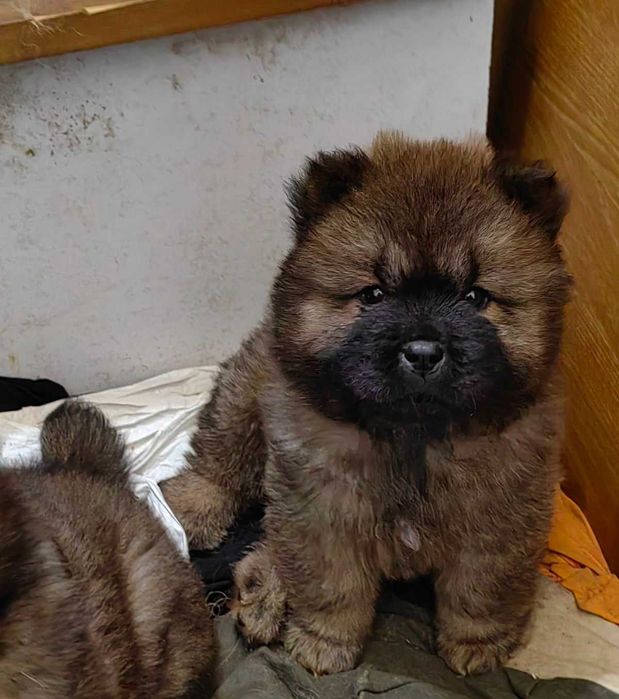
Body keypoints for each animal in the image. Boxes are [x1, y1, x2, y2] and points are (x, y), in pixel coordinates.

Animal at [162, 132, 570, 676]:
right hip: (246, 404)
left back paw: (262, 594)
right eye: (373, 295)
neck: (414, 437)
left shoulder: (499, 519)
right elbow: (333, 587)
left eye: (475, 297)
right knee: (219, 464)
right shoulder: (325, 515)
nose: (423, 351)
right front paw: (323, 644)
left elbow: (480, 592)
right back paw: (201, 521)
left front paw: (477, 646)